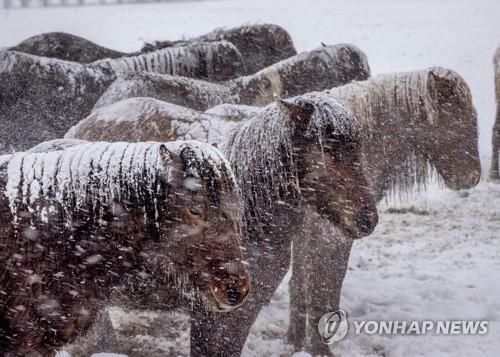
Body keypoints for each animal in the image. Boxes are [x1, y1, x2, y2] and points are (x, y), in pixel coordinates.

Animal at [290, 66, 484, 354]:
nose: (471, 178)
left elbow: (304, 286)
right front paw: (318, 349)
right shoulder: (329, 235)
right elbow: (321, 286)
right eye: (457, 117)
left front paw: (294, 343)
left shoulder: (306, 236)